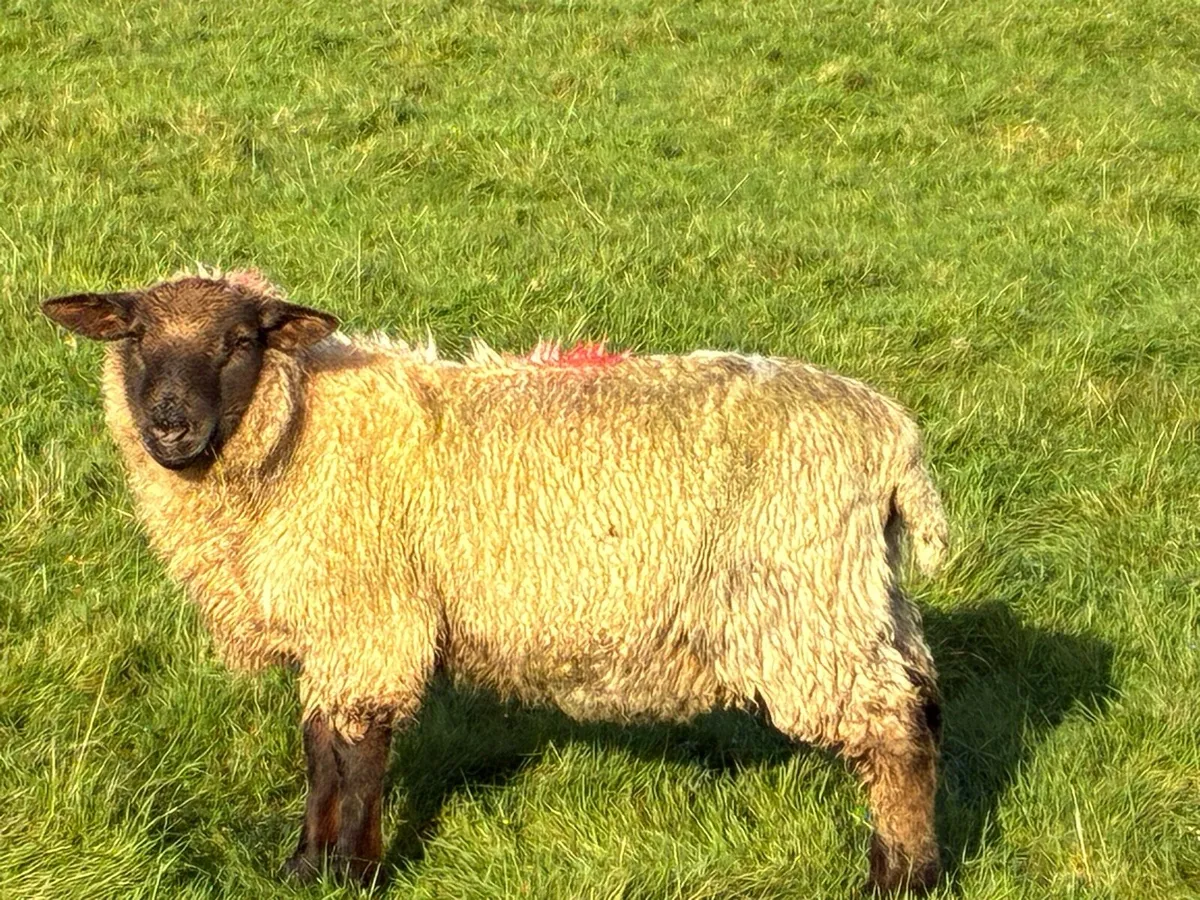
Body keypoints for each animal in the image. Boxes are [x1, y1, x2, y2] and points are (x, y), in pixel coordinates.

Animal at [42, 269, 950, 894]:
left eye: (239, 342)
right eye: (134, 337)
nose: (169, 425)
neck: (300, 439)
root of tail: (896, 440)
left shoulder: (367, 619)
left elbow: (353, 753)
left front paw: (353, 873)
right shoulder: (336, 629)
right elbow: (320, 749)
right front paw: (303, 867)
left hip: (806, 604)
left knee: (894, 733)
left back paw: (897, 880)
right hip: (865, 597)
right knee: (923, 708)